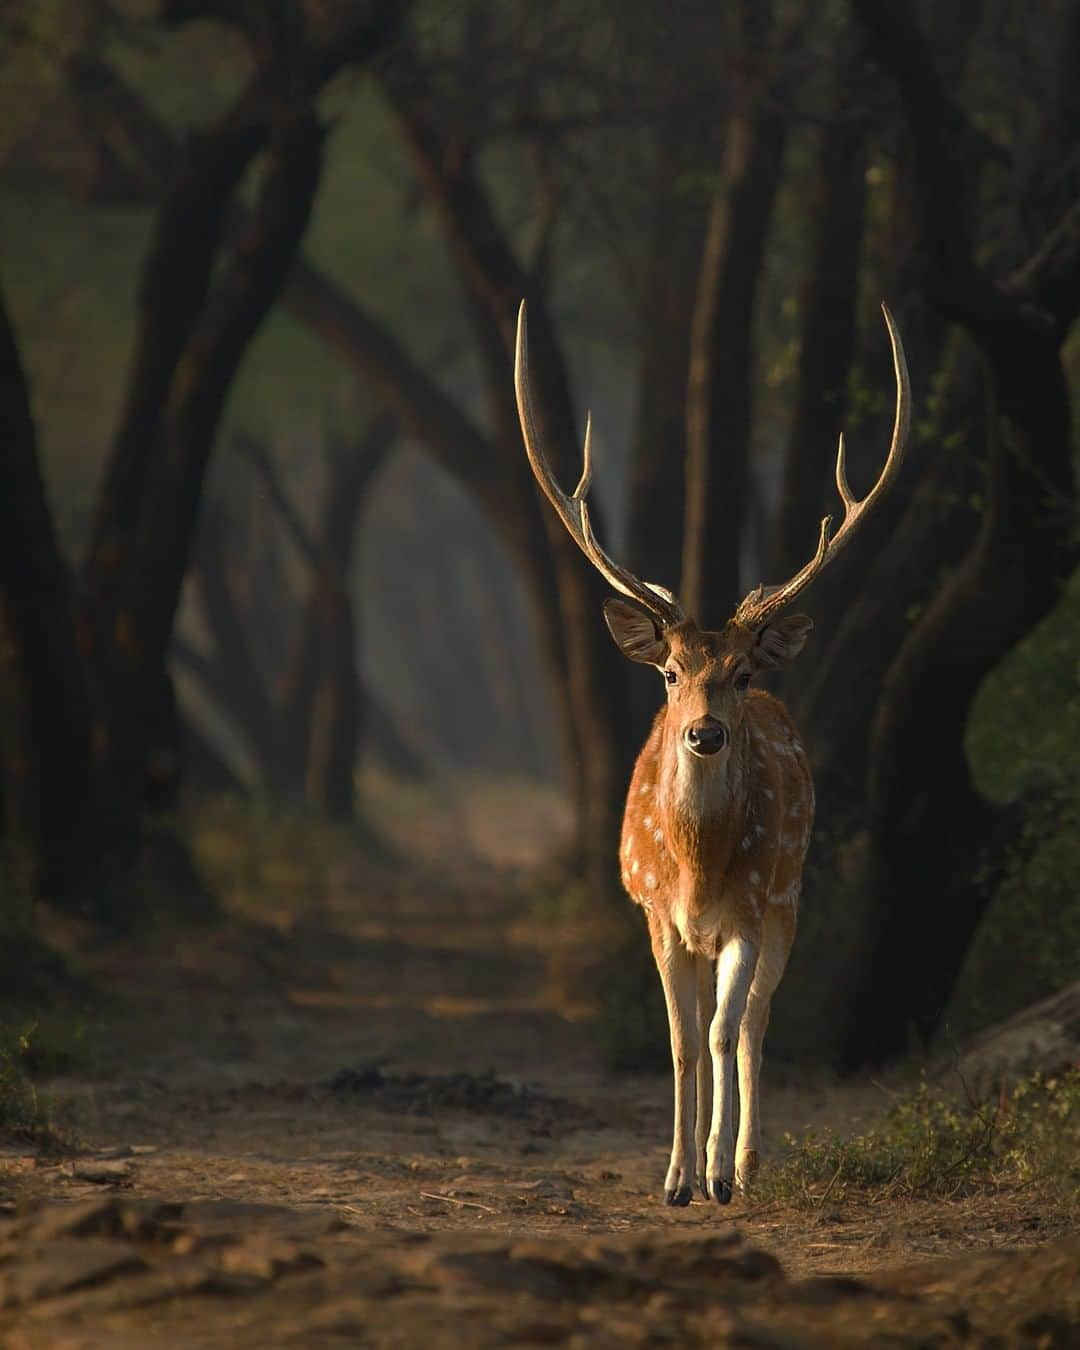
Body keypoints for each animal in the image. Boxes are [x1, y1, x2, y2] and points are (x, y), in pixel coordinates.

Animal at [515, 303, 912, 1204]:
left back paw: (744, 1162)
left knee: (756, 1021)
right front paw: (673, 1178)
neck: (696, 867)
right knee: (714, 1028)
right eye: (669, 672)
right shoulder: (656, 913)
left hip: (790, 898)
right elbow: (682, 1043)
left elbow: (730, 1034)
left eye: (739, 672)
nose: (704, 731)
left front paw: (720, 1174)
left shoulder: (751, 911)